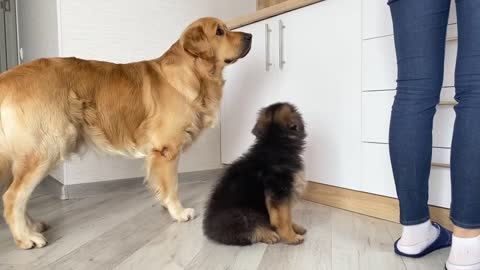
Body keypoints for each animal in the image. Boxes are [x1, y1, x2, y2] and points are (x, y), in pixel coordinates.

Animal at [202, 102, 308, 246]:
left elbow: (287, 215)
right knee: (249, 229)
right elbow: (283, 217)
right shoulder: (279, 192)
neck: (274, 141)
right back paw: (268, 234)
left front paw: (294, 228)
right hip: (243, 213)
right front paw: (291, 237)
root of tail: (210, 231)